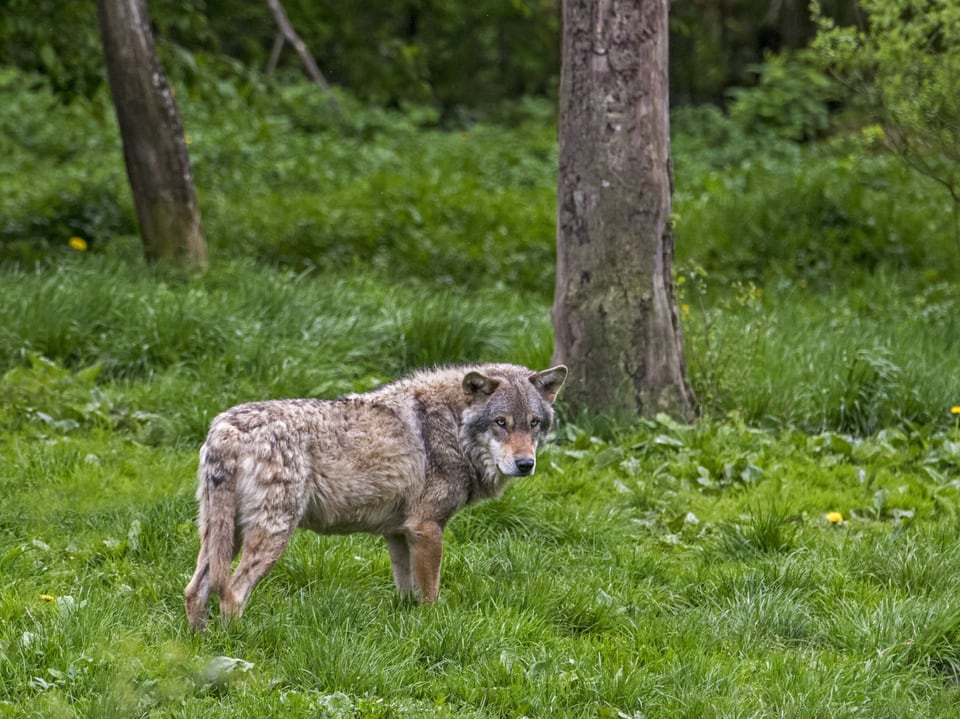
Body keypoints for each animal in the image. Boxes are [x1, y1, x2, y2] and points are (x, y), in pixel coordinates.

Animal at [184, 360, 568, 632]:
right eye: (501, 422)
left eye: (533, 423)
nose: (525, 464)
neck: (452, 426)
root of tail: (225, 431)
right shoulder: (427, 529)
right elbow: (430, 596)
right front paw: (432, 629)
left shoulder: (399, 534)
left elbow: (407, 593)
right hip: (272, 534)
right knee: (232, 592)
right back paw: (237, 647)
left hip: (223, 536)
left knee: (195, 590)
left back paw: (199, 647)